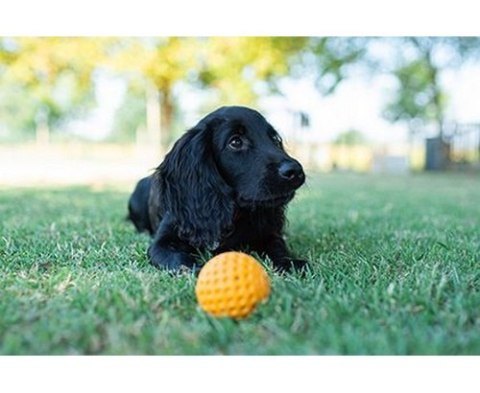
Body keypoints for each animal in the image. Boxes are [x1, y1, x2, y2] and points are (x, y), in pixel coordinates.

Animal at [127, 104, 306, 272]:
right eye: (235, 141)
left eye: (274, 139)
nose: (295, 170)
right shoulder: (163, 242)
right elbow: (178, 259)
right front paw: (198, 271)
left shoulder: (268, 233)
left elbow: (277, 247)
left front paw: (290, 264)